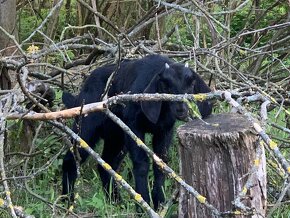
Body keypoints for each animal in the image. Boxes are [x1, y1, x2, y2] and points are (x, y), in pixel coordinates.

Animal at [61, 54, 212, 209]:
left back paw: (115, 201)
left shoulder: (164, 131)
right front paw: (143, 204)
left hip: (116, 137)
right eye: (166, 85)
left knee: (107, 164)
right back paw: (67, 200)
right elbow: (141, 164)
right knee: (70, 160)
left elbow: (161, 163)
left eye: (191, 84)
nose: (181, 109)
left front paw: (159, 202)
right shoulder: (133, 125)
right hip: (87, 128)